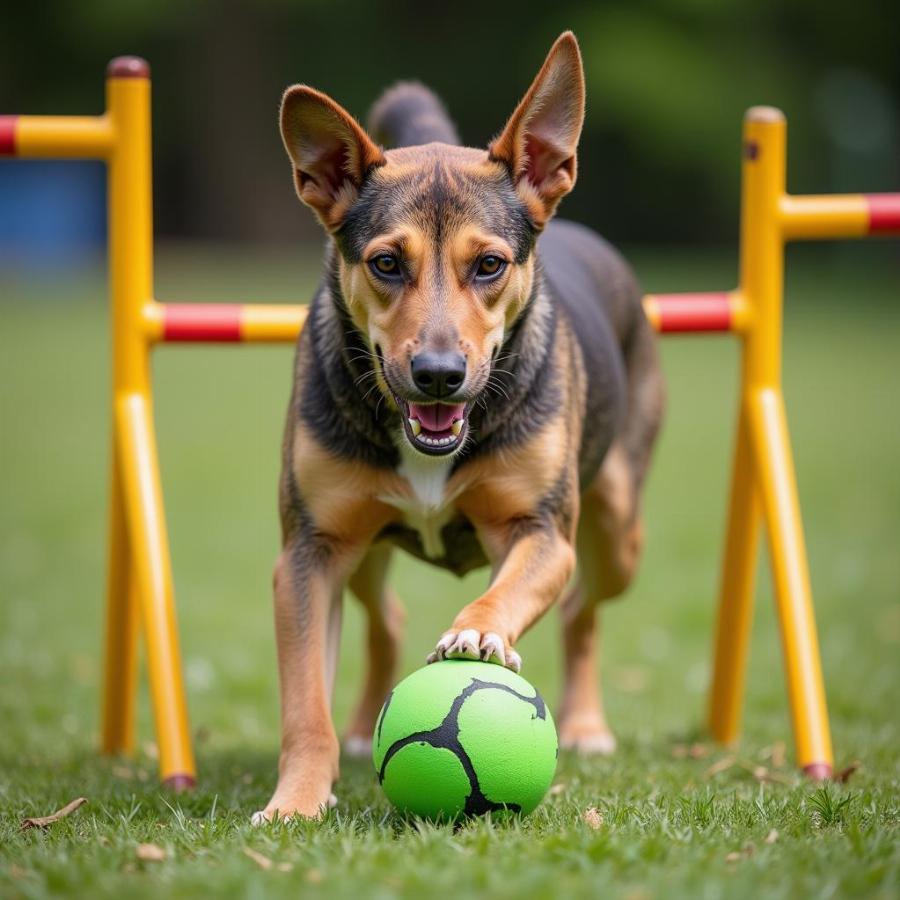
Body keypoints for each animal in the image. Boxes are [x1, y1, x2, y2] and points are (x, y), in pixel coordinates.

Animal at [253, 29, 660, 824]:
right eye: (385, 262)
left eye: (490, 265)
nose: (438, 374)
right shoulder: (309, 551)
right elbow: (304, 704)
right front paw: (296, 802)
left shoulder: (541, 530)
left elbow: (510, 591)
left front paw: (477, 631)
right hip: (361, 541)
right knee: (386, 613)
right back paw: (361, 730)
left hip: (617, 530)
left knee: (581, 609)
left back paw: (587, 725)